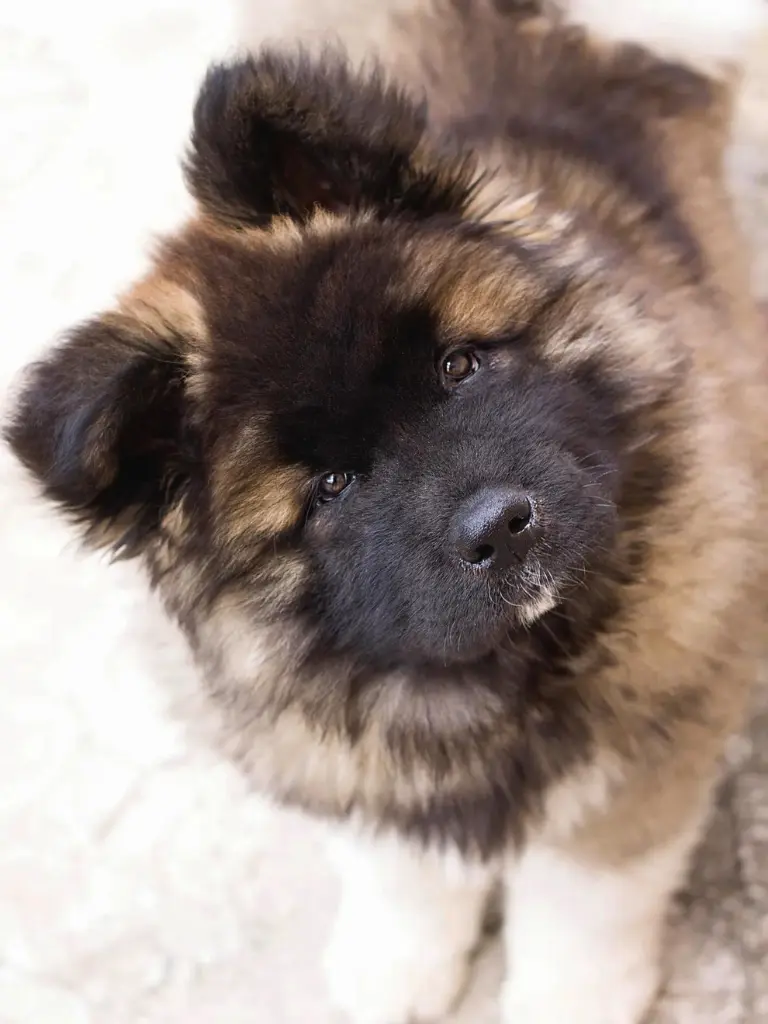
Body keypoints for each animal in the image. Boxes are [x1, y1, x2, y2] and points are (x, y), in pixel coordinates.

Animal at [7, 2, 768, 1024]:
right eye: (332, 488)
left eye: (459, 366)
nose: (500, 524)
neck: (490, 674)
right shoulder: (349, 758)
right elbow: (403, 876)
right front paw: (395, 966)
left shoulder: (647, 752)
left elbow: (583, 909)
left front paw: (568, 998)